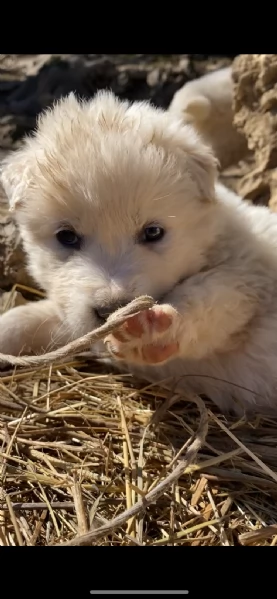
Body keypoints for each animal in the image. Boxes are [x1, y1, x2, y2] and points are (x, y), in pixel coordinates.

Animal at [0, 92, 276, 418]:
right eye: (66, 236)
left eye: (153, 232)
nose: (112, 309)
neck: (210, 237)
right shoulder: (77, 321)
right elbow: (32, 317)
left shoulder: (250, 273)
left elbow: (211, 294)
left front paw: (150, 330)